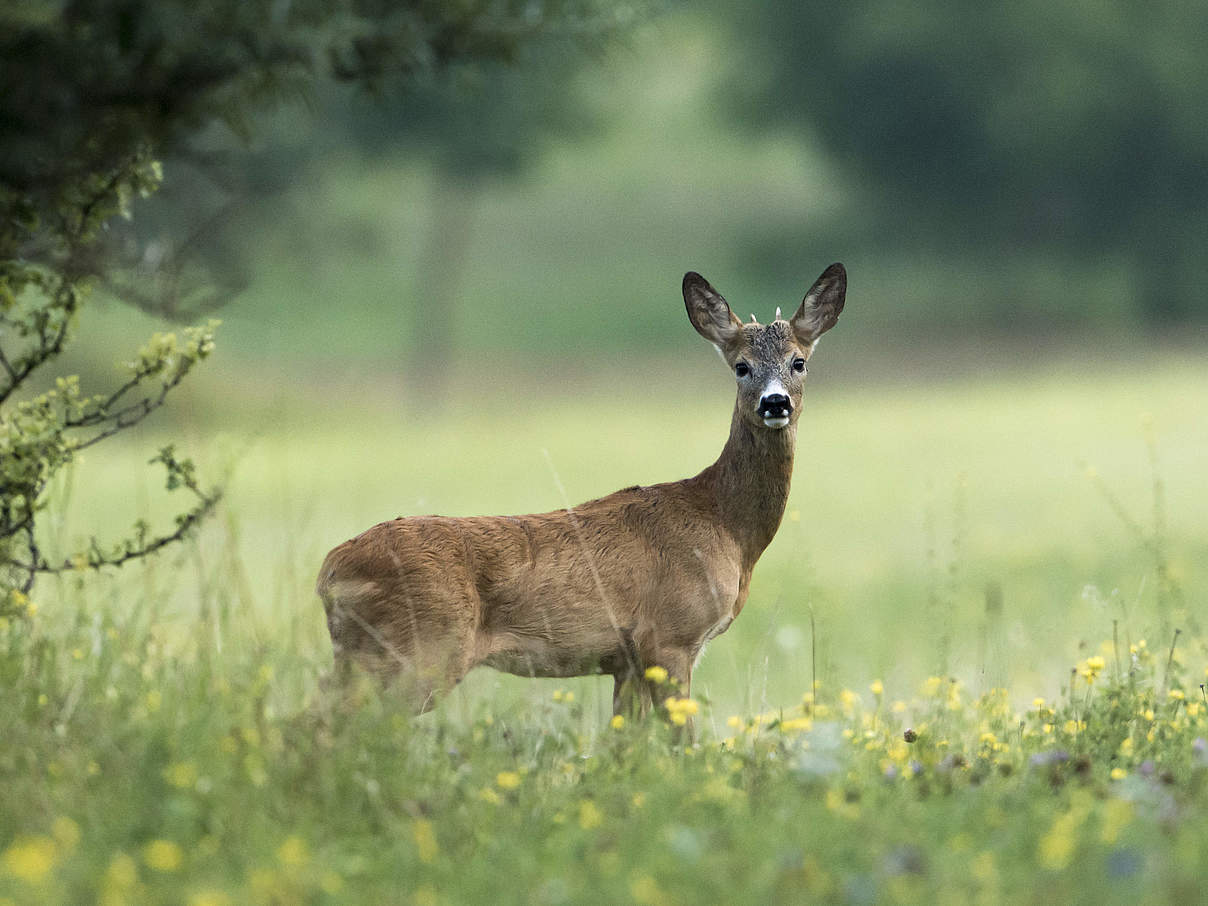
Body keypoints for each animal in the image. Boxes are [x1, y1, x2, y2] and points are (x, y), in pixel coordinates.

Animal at [321, 262, 850, 724]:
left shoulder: (627, 660)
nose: (775, 402)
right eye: (741, 366)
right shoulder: (672, 637)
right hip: (419, 648)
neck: (724, 524)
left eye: (798, 362)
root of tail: (328, 572)